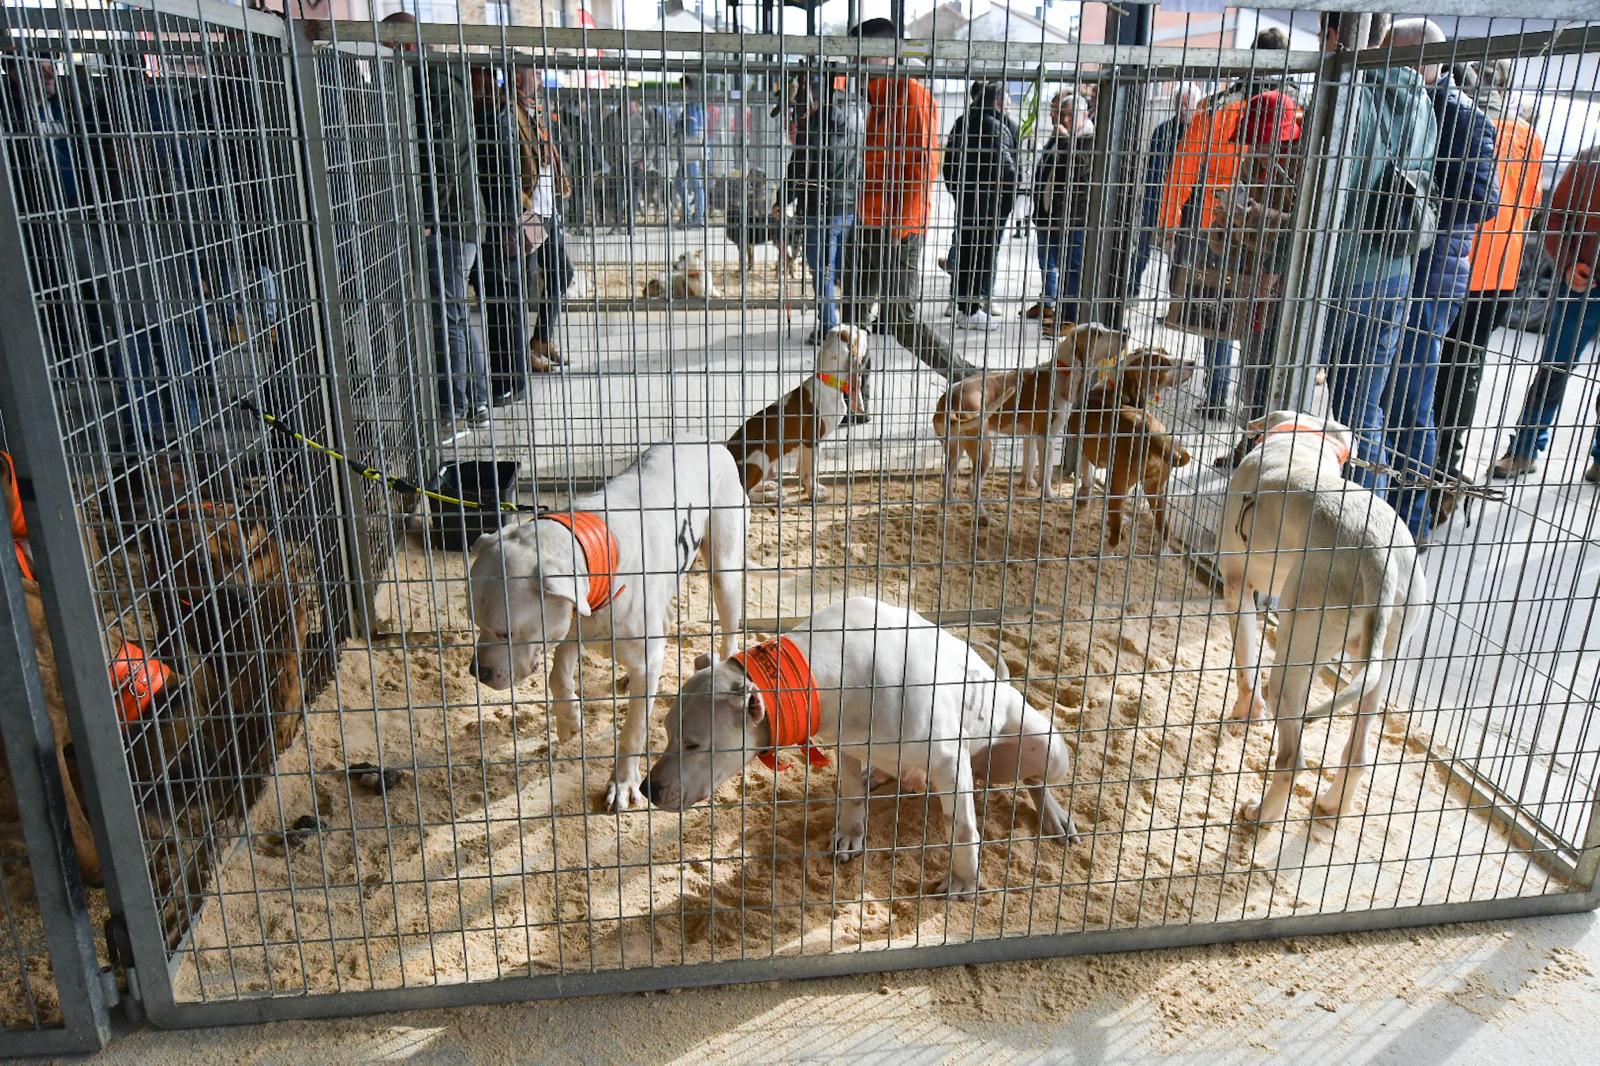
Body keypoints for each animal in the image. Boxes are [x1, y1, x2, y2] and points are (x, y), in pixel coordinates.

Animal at [467, 435, 748, 809]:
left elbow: (633, 731)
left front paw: (623, 783)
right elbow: (558, 677)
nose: (477, 672)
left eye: (506, 632)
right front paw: (569, 721)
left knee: (729, 629)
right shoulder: (571, 623)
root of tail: (706, 439)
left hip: (724, 570)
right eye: (475, 621)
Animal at [643, 598, 1081, 896]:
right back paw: (879, 773)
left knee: (1036, 779)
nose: (648, 789)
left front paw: (962, 879)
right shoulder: (847, 746)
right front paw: (851, 833)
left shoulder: (950, 762)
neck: (821, 669)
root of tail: (1001, 679)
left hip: (1046, 747)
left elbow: (961, 827)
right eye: (665, 731)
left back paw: (1053, 814)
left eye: (693, 743)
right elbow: (851, 794)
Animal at [729, 323, 870, 502]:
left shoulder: (807, 446)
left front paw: (809, 488)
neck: (827, 382)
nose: (867, 330)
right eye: (856, 334)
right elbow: (810, 472)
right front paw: (814, 494)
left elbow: (803, 470)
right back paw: (770, 496)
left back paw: (767, 486)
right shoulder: (813, 441)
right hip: (760, 458)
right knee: (746, 493)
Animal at [934, 320, 1132, 518]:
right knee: (971, 488)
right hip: (983, 449)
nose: (1126, 334)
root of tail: (950, 400)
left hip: (955, 449)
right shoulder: (1047, 437)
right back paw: (985, 518)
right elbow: (1046, 471)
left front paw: (1027, 484)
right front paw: (1049, 496)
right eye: (1097, 334)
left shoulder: (1029, 436)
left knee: (947, 479)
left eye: (1104, 327)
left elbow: (1030, 463)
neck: (1061, 371)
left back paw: (949, 508)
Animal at [1216, 409, 1433, 825]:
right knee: (1358, 755)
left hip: (1294, 658)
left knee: (1292, 760)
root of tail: (1377, 556)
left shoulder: (1237, 587)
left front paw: (1246, 713)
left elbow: (1246, 666)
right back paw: (1332, 806)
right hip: (1381, 661)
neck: (1303, 440)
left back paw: (1261, 814)